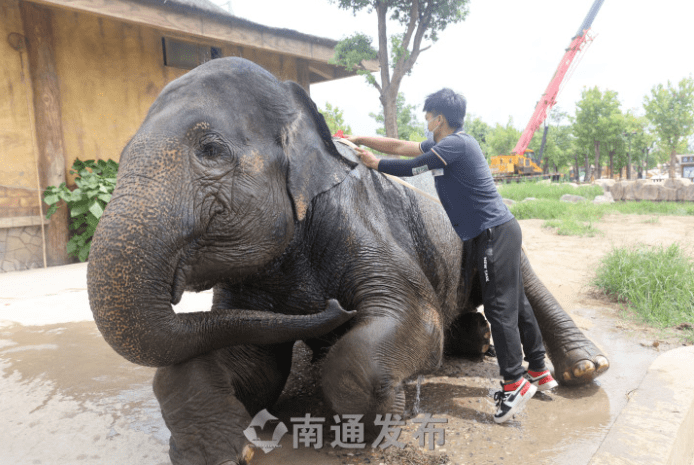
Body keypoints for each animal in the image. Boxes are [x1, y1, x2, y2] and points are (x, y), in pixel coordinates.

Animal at [85, 57, 608, 464]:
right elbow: (237, 362)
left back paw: (579, 371)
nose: (336, 309)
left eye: (211, 150)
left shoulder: (364, 222)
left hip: (497, 230)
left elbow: (414, 323)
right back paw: (477, 343)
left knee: (520, 285)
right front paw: (228, 451)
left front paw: (381, 425)